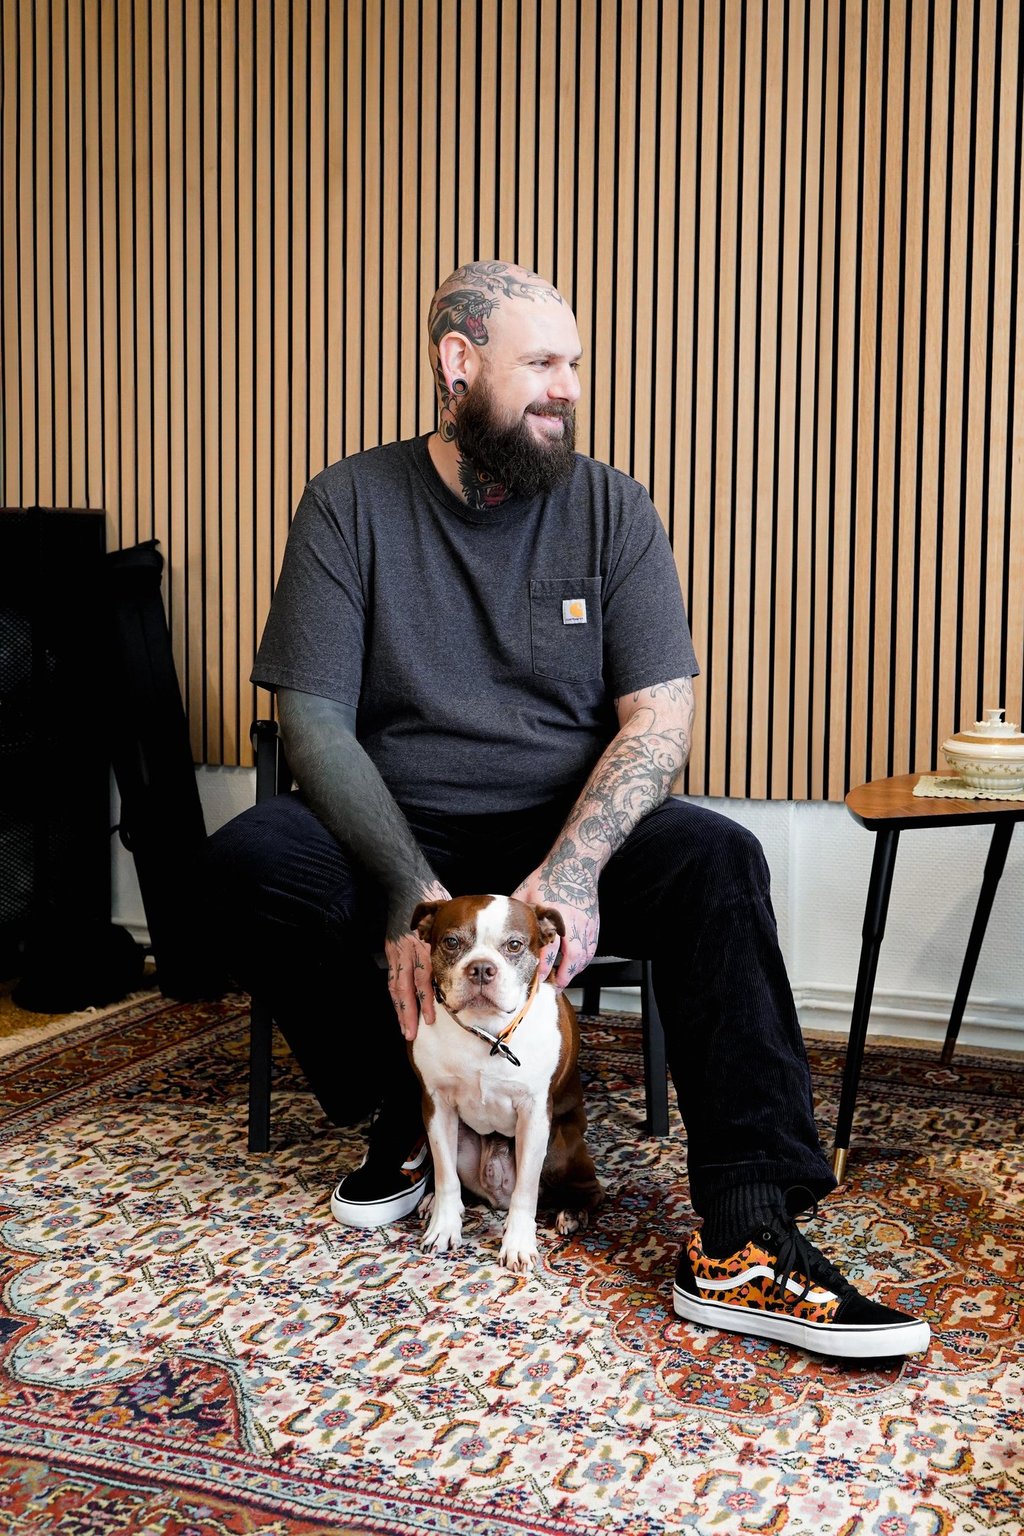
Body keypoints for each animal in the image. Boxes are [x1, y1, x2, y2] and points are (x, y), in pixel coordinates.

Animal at [408, 894, 604, 1273]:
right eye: (451, 942)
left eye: (514, 945)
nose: (482, 968)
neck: (486, 1032)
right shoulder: (436, 1106)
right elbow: (445, 1175)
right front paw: (444, 1227)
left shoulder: (534, 1115)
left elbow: (525, 1191)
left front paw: (518, 1244)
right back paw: (431, 1201)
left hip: (558, 1145)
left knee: (591, 1188)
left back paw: (573, 1213)